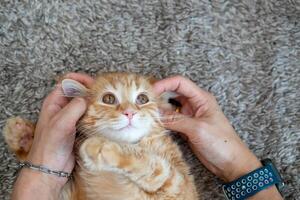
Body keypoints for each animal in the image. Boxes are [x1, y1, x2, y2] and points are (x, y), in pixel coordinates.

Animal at [3, 72, 199, 199]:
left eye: (142, 99)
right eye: (109, 99)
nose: (129, 112)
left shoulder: (182, 188)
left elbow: (156, 168)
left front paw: (102, 148)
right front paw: (23, 136)